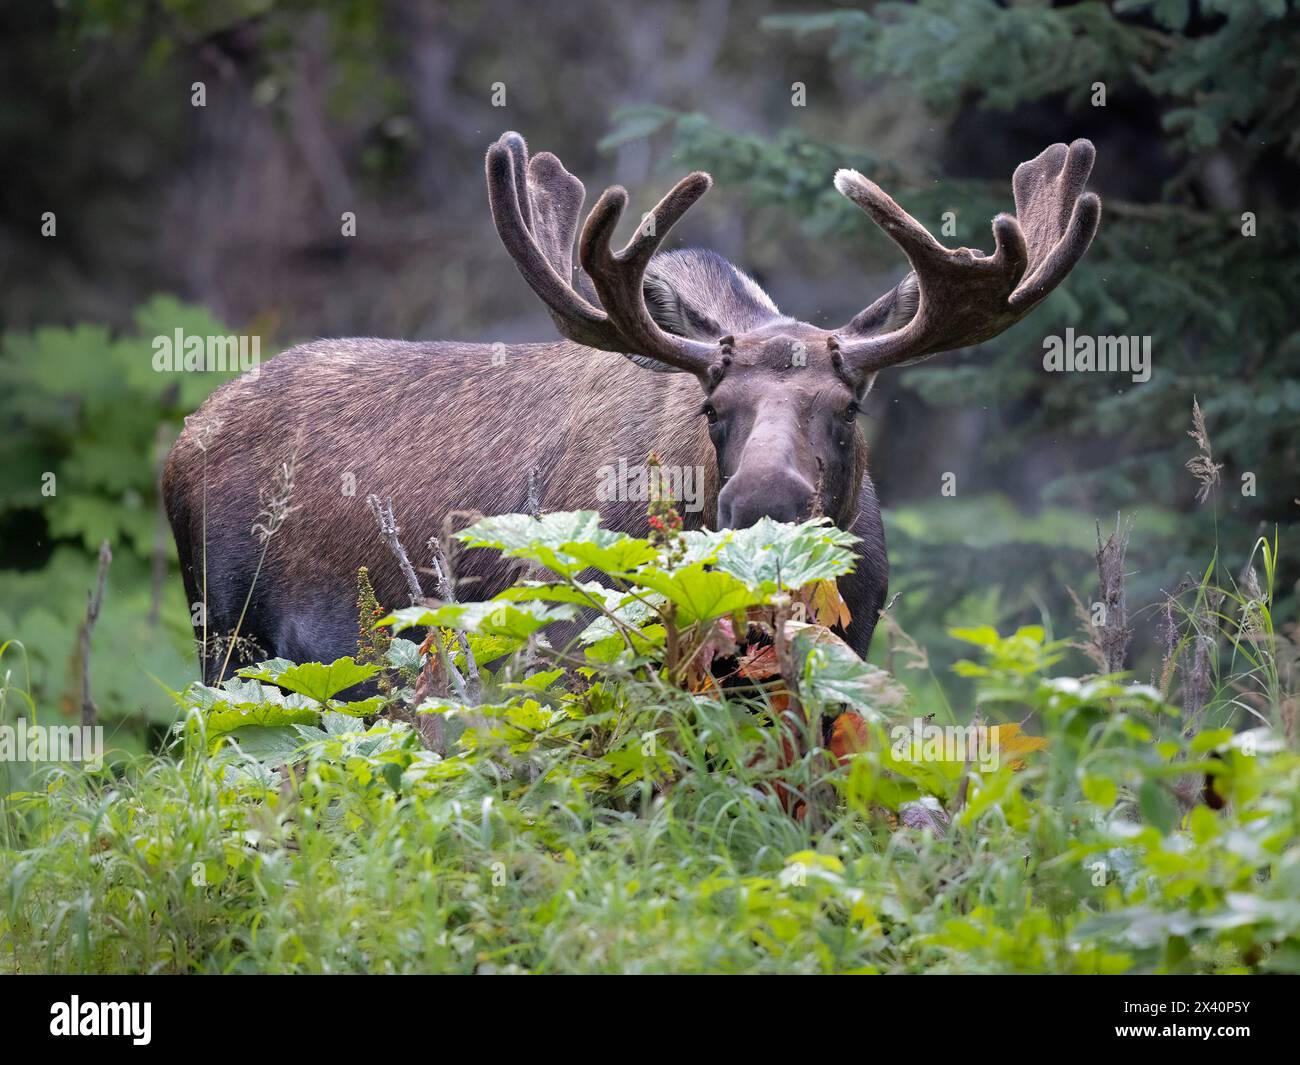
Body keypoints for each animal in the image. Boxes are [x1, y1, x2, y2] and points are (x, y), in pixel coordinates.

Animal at [159, 133, 1097, 681]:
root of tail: (183, 439)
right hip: (228, 632)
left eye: (848, 406)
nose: (763, 501)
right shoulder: (569, 634)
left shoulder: (849, 636)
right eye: (714, 406)